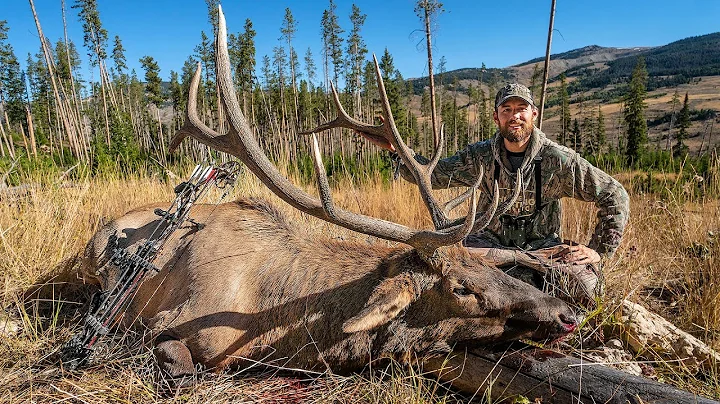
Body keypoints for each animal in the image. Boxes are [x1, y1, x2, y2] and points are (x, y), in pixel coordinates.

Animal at [76, 5, 578, 386]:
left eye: (488, 265)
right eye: (462, 288)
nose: (566, 313)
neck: (268, 326)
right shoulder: (164, 328)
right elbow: (181, 368)